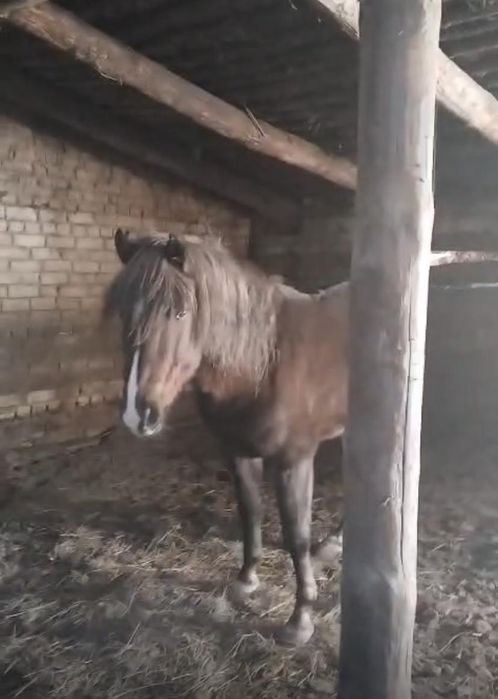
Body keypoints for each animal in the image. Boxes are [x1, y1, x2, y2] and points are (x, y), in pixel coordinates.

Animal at [105, 228, 349, 646]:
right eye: (123, 312)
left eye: (179, 313)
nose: (139, 413)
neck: (262, 363)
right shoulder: (236, 451)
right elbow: (250, 511)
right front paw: (246, 580)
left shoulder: (294, 460)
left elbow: (296, 534)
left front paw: (300, 618)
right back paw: (335, 541)